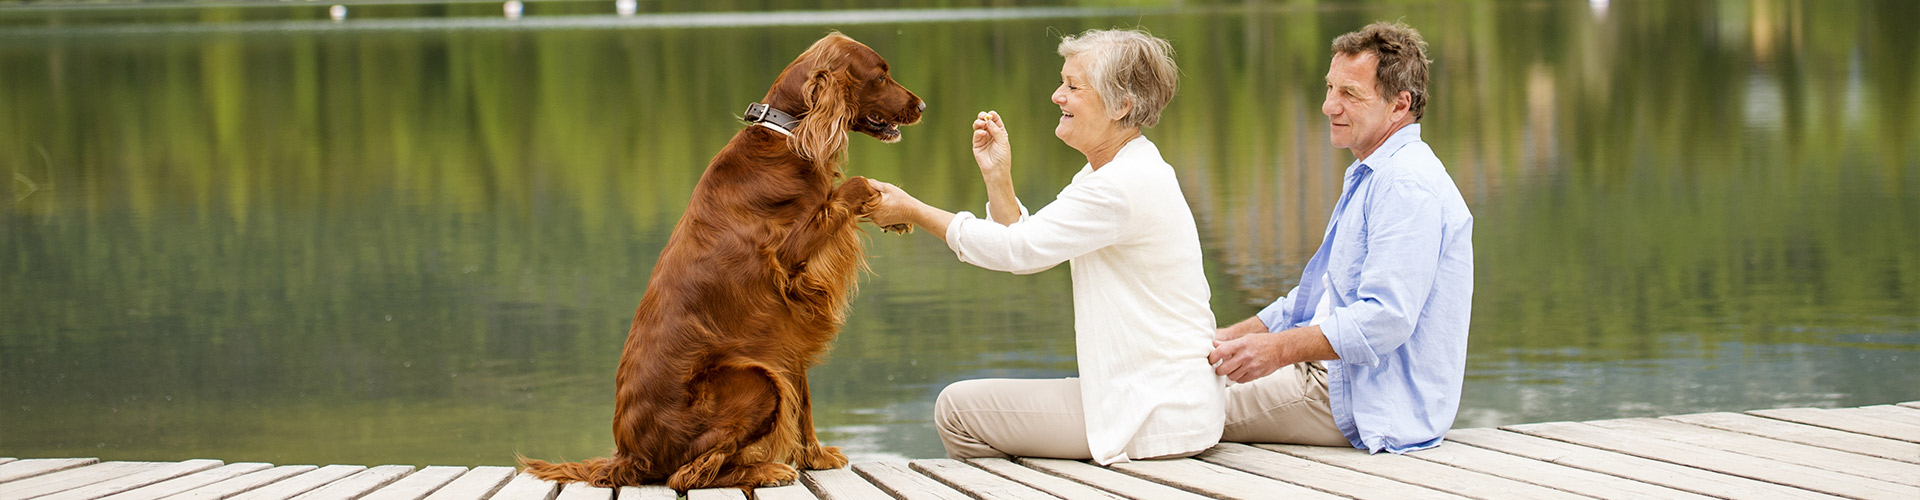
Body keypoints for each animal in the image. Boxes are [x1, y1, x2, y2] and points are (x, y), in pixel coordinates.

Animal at [518, 33, 921, 490]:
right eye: (881, 76)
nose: (922, 105)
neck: (787, 135)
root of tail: (628, 455)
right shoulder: (789, 262)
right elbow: (855, 185)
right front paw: (881, 200)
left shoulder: (786, 332)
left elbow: (803, 398)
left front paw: (814, 457)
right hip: (756, 379)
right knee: (691, 473)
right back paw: (766, 469)